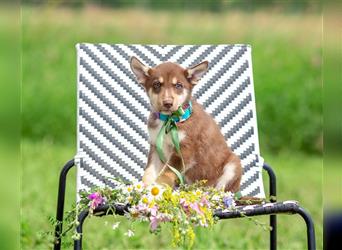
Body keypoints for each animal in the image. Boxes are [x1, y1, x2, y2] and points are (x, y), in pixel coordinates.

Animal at [130, 56, 242, 192]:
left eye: (178, 85)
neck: (168, 120)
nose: (167, 103)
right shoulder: (156, 147)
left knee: (221, 190)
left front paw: (158, 187)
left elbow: (166, 173)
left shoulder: (184, 151)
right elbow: (148, 172)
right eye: (157, 84)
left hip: (233, 164)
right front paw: (143, 188)